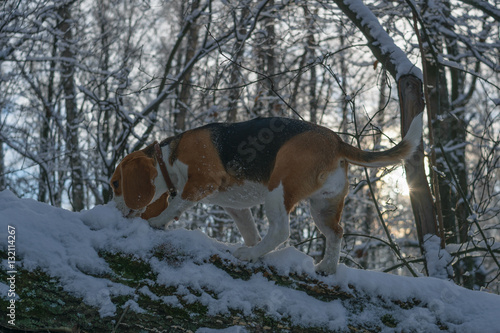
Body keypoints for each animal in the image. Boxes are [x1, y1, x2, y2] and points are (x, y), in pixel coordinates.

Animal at [110, 115, 422, 274]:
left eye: (114, 184)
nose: (116, 211)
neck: (168, 157)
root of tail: (336, 141)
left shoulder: (201, 183)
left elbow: (176, 204)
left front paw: (157, 222)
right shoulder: (235, 207)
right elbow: (250, 230)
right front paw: (253, 246)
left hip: (279, 189)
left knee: (282, 230)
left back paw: (249, 255)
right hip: (323, 206)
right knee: (336, 232)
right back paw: (326, 267)